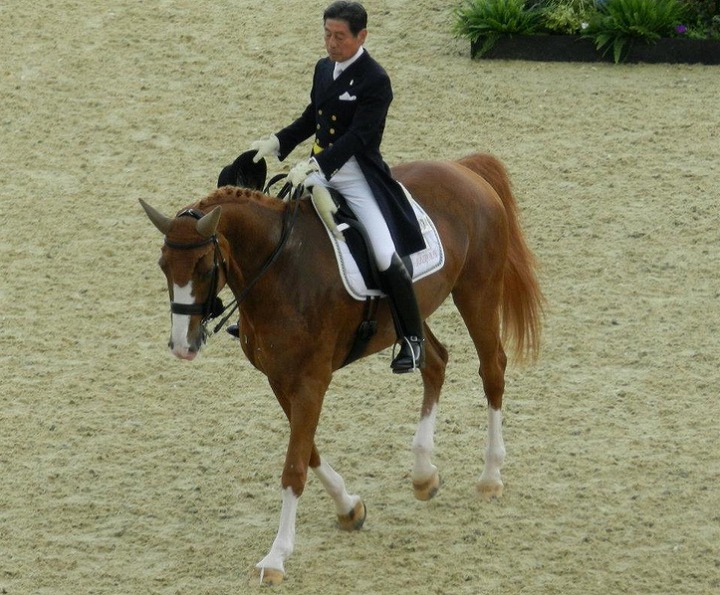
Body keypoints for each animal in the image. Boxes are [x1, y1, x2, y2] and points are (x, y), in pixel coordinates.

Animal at [139, 152, 543, 585]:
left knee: (492, 370)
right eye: (163, 265)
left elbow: (294, 466)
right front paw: (349, 507)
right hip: (414, 315)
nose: (182, 346)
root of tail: (462, 167)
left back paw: (490, 477)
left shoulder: (310, 381)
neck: (280, 268)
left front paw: (276, 557)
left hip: (477, 290)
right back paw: (423, 474)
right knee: (434, 363)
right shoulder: (280, 379)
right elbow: (309, 451)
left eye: (202, 265)